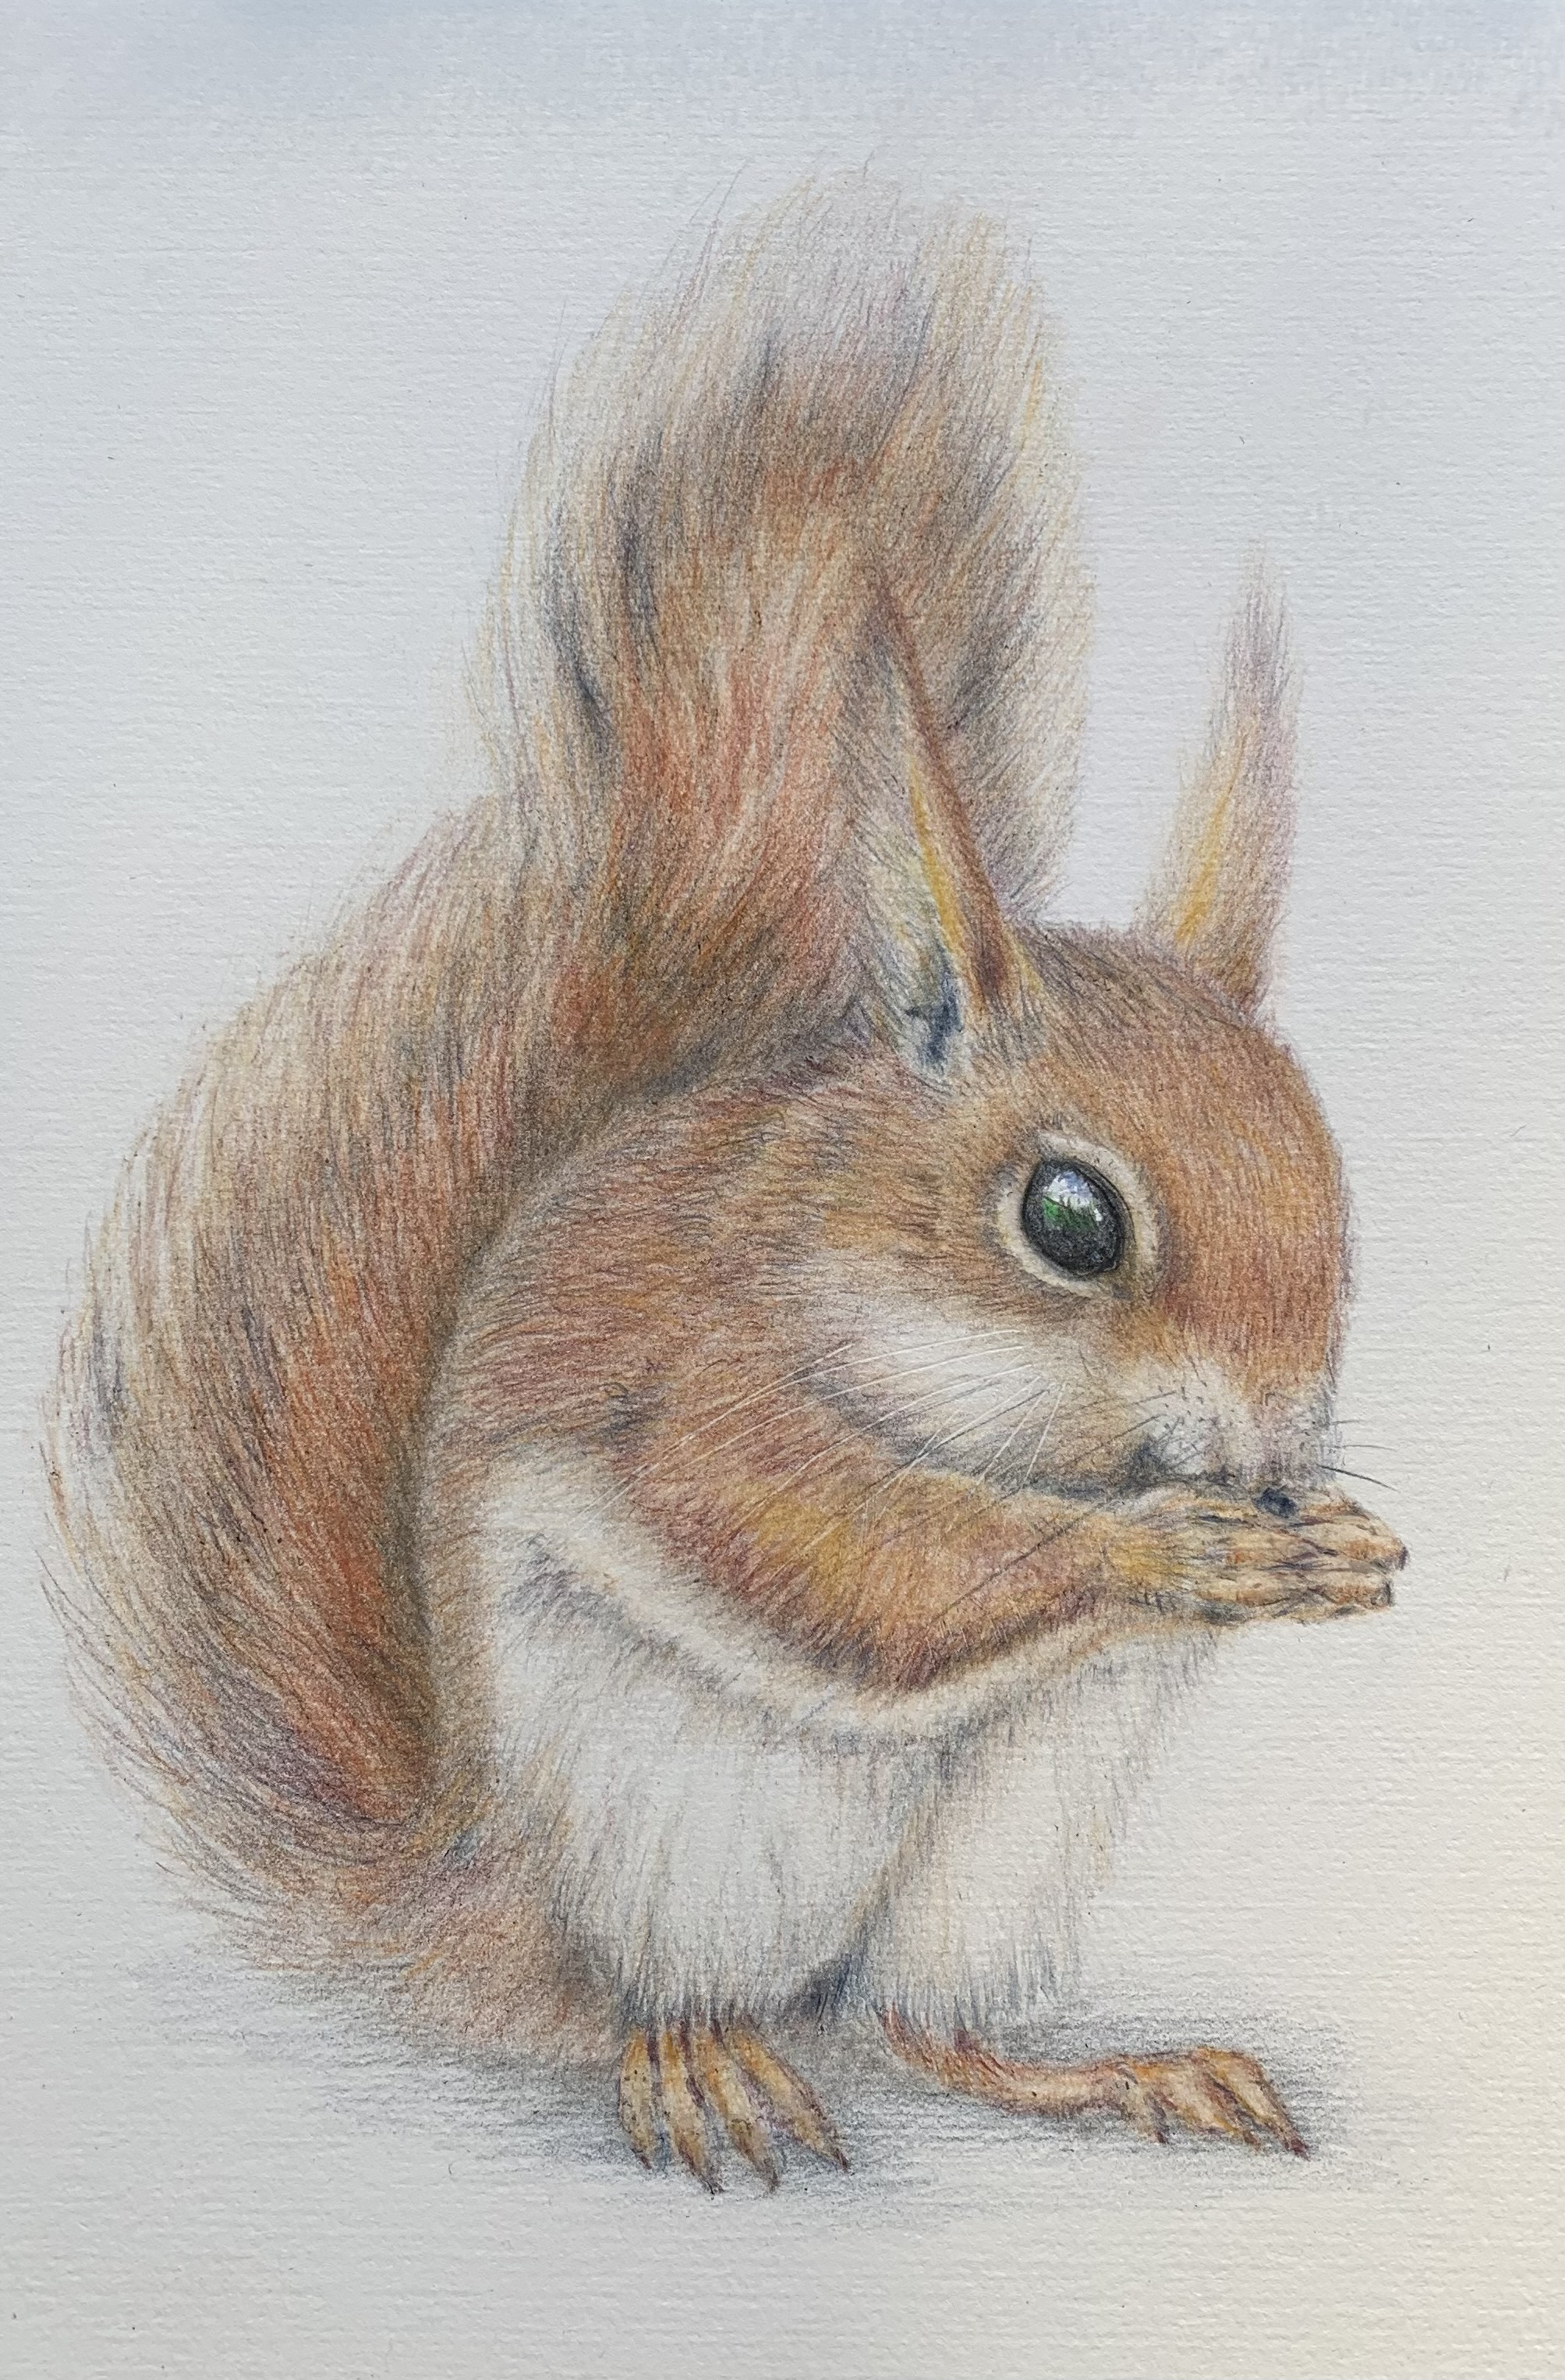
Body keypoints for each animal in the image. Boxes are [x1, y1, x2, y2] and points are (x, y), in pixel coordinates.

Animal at [47, 182, 1405, 2190]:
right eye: (1068, 1222)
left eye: (1330, 1179)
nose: (1270, 1446)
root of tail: (474, 1892)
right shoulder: (701, 1389)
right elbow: (842, 1555)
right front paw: (1164, 1549)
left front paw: (1334, 1539)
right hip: (655, 1823)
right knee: (653, 1999)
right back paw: (695, 2062)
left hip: (1006, 1832)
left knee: (919, 2022)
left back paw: (1124, 2071)